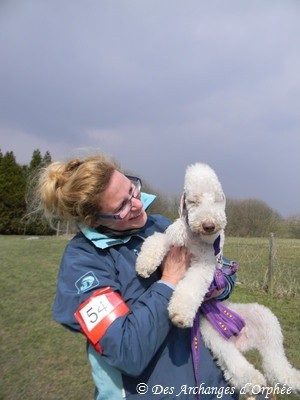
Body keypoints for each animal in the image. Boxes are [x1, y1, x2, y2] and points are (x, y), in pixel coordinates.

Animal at [137, 163, 300, 394]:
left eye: (217, 199)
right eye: (193, 201)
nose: (209, 225)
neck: (197, 239)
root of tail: (242, 340)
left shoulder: (204, 265)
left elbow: (192, 285)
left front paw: (180, 313)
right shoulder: (172, 239)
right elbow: (156, 239)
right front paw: (144, 265)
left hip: (266, 321)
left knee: (276, 364)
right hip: (213, 334)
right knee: (233, 361)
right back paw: (251, 380)